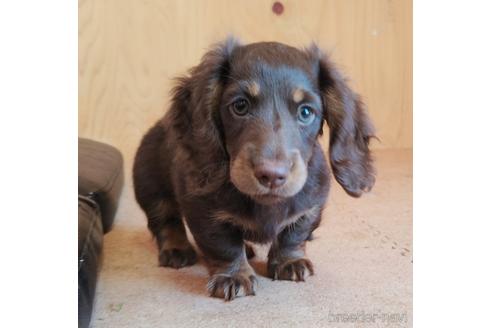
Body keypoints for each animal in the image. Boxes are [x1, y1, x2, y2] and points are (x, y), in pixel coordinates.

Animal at [133, 37, 374, 302]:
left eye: (306, 112)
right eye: (240, 106)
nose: (272, 176)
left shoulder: (310, 207)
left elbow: (294, 234)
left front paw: (290, 261)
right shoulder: (203, 211)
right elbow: (223, 244)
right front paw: (233, 275)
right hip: (152, 190)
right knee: (167, 222)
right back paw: (177, 249)